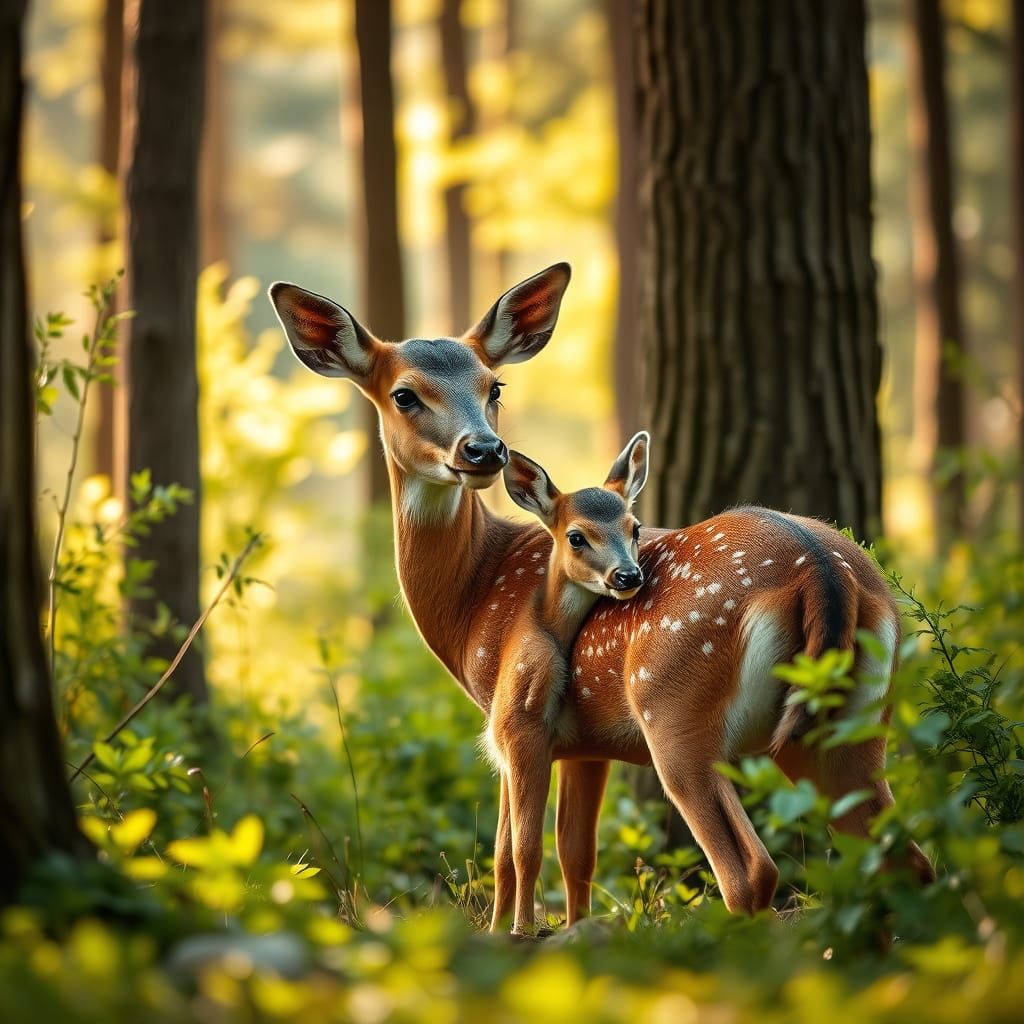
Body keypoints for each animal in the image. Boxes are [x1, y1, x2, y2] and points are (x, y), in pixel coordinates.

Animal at [268, 263, 934, 936]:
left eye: (493, 386)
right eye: (404, 395)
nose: (483, 451)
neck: (474, 600)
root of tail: (821, 571)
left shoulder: (513, 722)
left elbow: (514, 848)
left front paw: (513, 934)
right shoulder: (584, 746)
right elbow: (573, 852)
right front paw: (564, 929)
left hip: (678, 715)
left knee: (751, 872)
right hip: (847, 726)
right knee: (907, 859)